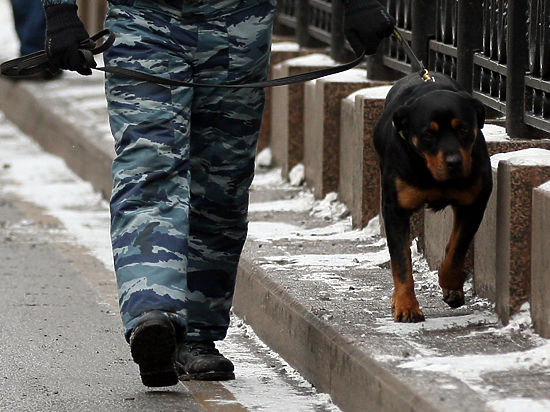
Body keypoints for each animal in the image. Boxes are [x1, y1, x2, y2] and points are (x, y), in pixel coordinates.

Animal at [376, 73, 496, 322]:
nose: (454, 162)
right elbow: (401, 262)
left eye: (463, 129)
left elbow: (456, 249)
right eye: (428, 134)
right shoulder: (395, 210)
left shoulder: (474, 203)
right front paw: (406, 306)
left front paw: (451, 285)